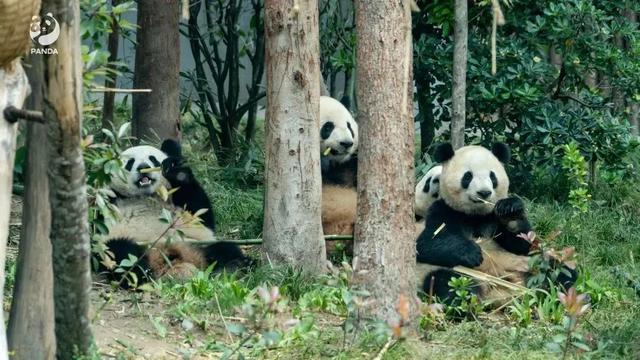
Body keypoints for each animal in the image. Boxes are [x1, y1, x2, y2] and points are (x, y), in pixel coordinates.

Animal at [97, 139, 250, 288]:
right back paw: (139, 272)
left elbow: (201, 214)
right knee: (120, 252)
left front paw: (178, 173)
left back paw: (233, 266)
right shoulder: (109, 200)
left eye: (153, 159)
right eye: (130, 163)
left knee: (224, 250)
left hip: (197, 245)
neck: (147, 195)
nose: (143, 167)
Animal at [412, 143, 576, 306]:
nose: (484, 193)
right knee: (448, 283)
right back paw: (470, 301)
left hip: (533, 263)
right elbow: (428, 243)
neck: (475, 215)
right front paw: (472, 252)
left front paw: (511, 213)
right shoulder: (444, 210)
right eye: (467, 176)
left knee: (560, 270)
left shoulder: (493, 216)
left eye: (492, 176)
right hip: (457, 273)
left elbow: (523, 244)